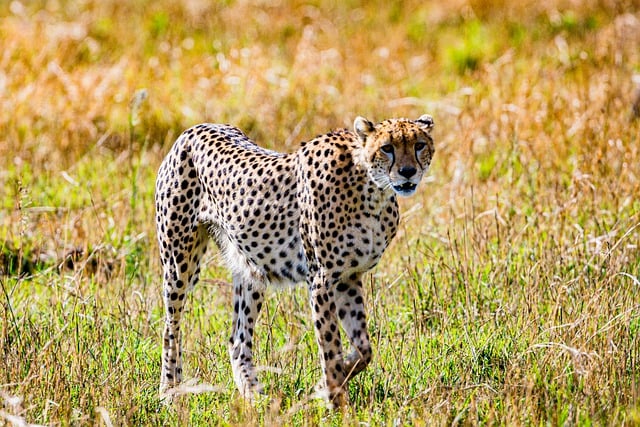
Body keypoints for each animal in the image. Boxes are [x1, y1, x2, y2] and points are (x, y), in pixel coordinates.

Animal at [156, 113, 436, 404]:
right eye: (387, 148)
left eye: (419, 145)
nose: (408, 172)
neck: (372, 190)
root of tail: (195, 128)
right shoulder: (322, 279)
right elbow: (330, 347)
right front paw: (336, 401)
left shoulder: (348, 277)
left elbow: (363, 349)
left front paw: (325, 386)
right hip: (179, 265)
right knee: (170, 326)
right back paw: (169, 391)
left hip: (252, 271)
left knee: (238, 339)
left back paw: (253, 396)